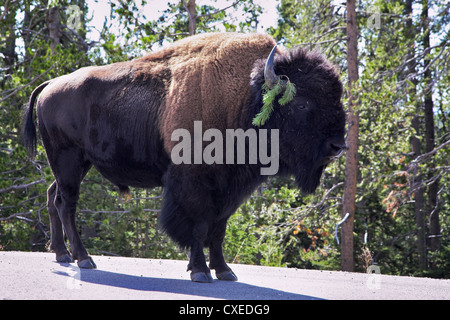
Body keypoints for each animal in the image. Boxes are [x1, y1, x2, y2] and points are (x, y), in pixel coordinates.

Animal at [22, 32, 346, 282]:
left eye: (337, 98)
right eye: (302, 103)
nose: (338, 146)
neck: (245, 98)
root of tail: (51, 85)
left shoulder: (229, 188)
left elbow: (218, 229)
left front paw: (224, 271)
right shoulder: (194, 183)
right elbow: (199, 226)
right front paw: (200, 271)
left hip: (77, 164)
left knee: (53, 196)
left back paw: (62, 254)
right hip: (67, 159)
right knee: (67, 203)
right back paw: (83, 258)